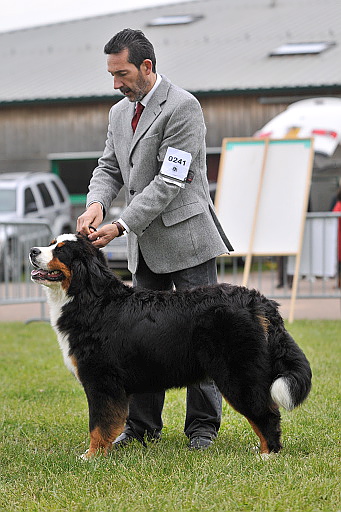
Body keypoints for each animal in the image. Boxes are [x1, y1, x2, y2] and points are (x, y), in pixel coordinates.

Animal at [29, 234, 310, 462]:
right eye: (52, 243)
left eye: (61, 251)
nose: (32, 250)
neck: (90, 300)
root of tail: (258, 301)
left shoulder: (101, 381)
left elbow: (99, 425)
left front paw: (92, 456)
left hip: (238, 375)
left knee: (265, 413)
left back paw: (268, 454)